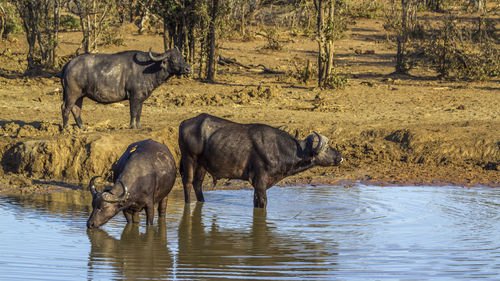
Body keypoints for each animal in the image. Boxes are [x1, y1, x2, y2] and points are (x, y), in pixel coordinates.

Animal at [59, 47, 191, 129]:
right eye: (173, 60)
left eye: (182, 58)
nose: (188, 68)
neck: (149, 68)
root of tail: (69, 64)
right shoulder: (134, 96)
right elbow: (133, 112)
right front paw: (132, 126)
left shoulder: (141, 98)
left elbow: (139, 112)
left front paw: (139, 126)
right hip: (71, 93)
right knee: (65, 108)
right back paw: (65, 128)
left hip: (80, 95)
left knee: (76, 109)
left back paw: (82, 127)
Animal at [177, 112, 344, 207]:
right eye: (327, 148)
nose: (340, 157)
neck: (278, 149)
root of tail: (184, 122)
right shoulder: (260, 181)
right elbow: (263, 202)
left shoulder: (258, 185)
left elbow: (256, 202)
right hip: (189, 157)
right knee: (187, 182)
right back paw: (187, 203)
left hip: (202, 164)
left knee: (197, 184)